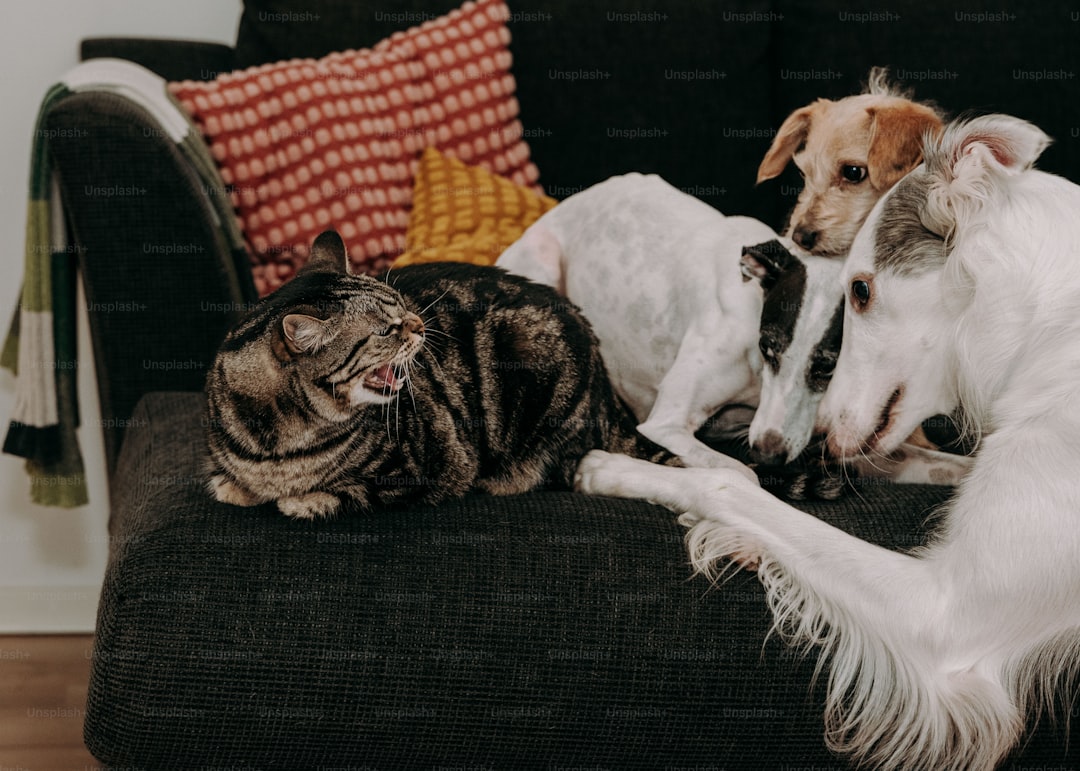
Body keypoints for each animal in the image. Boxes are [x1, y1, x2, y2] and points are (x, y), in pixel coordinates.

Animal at [205, 227, 669, 516]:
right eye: (386, 330)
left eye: (401, 303)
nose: (421, 323)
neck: (280, 442)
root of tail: (606, 387)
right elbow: (230, 478)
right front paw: (235, 486)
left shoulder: (436, 467)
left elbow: (353, 490)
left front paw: (303, 500)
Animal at [578, 115, 1080, 768]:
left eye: (860, 290)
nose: (822, 444)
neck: (1048, 324)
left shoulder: (946, 616)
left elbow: (725, 485)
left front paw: (610, 470)